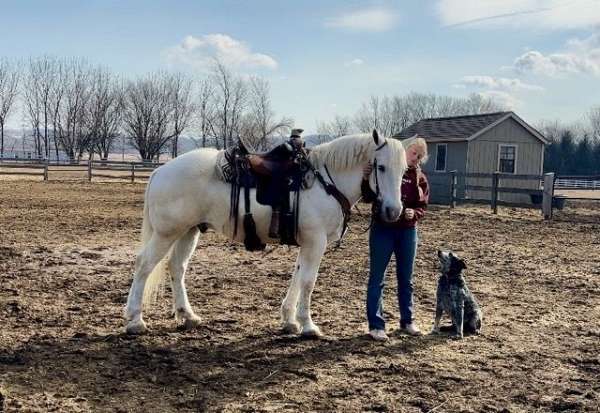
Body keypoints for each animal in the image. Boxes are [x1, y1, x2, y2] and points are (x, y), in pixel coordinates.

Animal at [126, 130, 408, 336]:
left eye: (405, 170)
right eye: (381, 167)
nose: (394, 210)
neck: (326, 181)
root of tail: (160, 171)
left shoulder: (307, 243)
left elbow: (297, 277)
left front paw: (289, 320)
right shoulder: (316, 241)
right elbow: (308, 282)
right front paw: (308, 326)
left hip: (188, 231)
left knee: (176, 267)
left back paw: (188, 316)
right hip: (166, 234)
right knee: (144, 265)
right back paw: (134, 321)